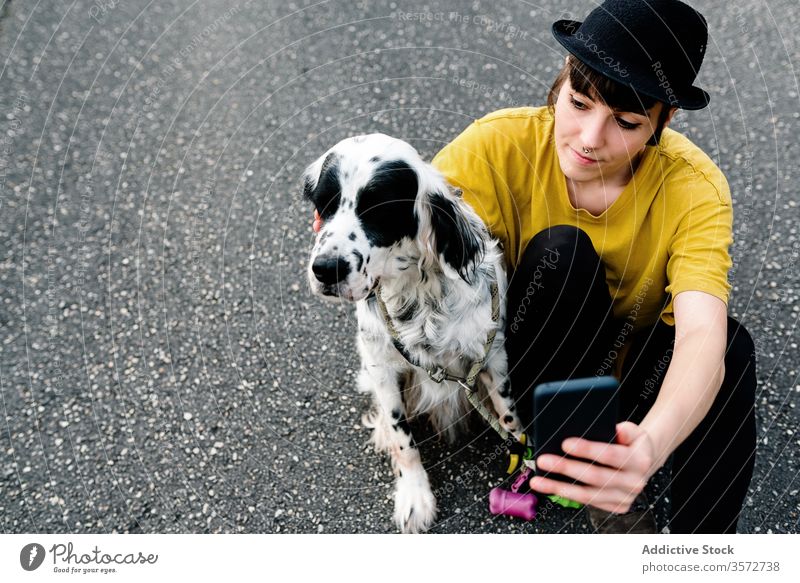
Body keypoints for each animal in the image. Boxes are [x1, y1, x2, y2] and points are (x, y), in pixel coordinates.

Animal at [304, 133, 520, 532]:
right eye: (324, 204)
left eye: (379, 208)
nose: (326, 269)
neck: (419, 296)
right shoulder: (382, 367)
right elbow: (403, 436)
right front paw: (415, 496)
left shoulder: (492, 354)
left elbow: (510, 415)